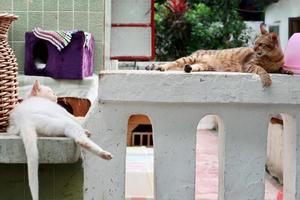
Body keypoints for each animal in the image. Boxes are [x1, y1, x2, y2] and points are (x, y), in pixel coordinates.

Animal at [148, 23, 292, 86]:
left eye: (260, 44)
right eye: (255, 43)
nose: (254, 48)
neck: (272, 58)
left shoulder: (277, 65)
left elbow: (281, 68)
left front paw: (288, 71)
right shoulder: (248, 64)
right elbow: (261, 69)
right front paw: (267, 78)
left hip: (204, 66)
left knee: (193, 67)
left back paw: (188, 68)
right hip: (190, 57)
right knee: (173, 62)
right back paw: (162, 67)